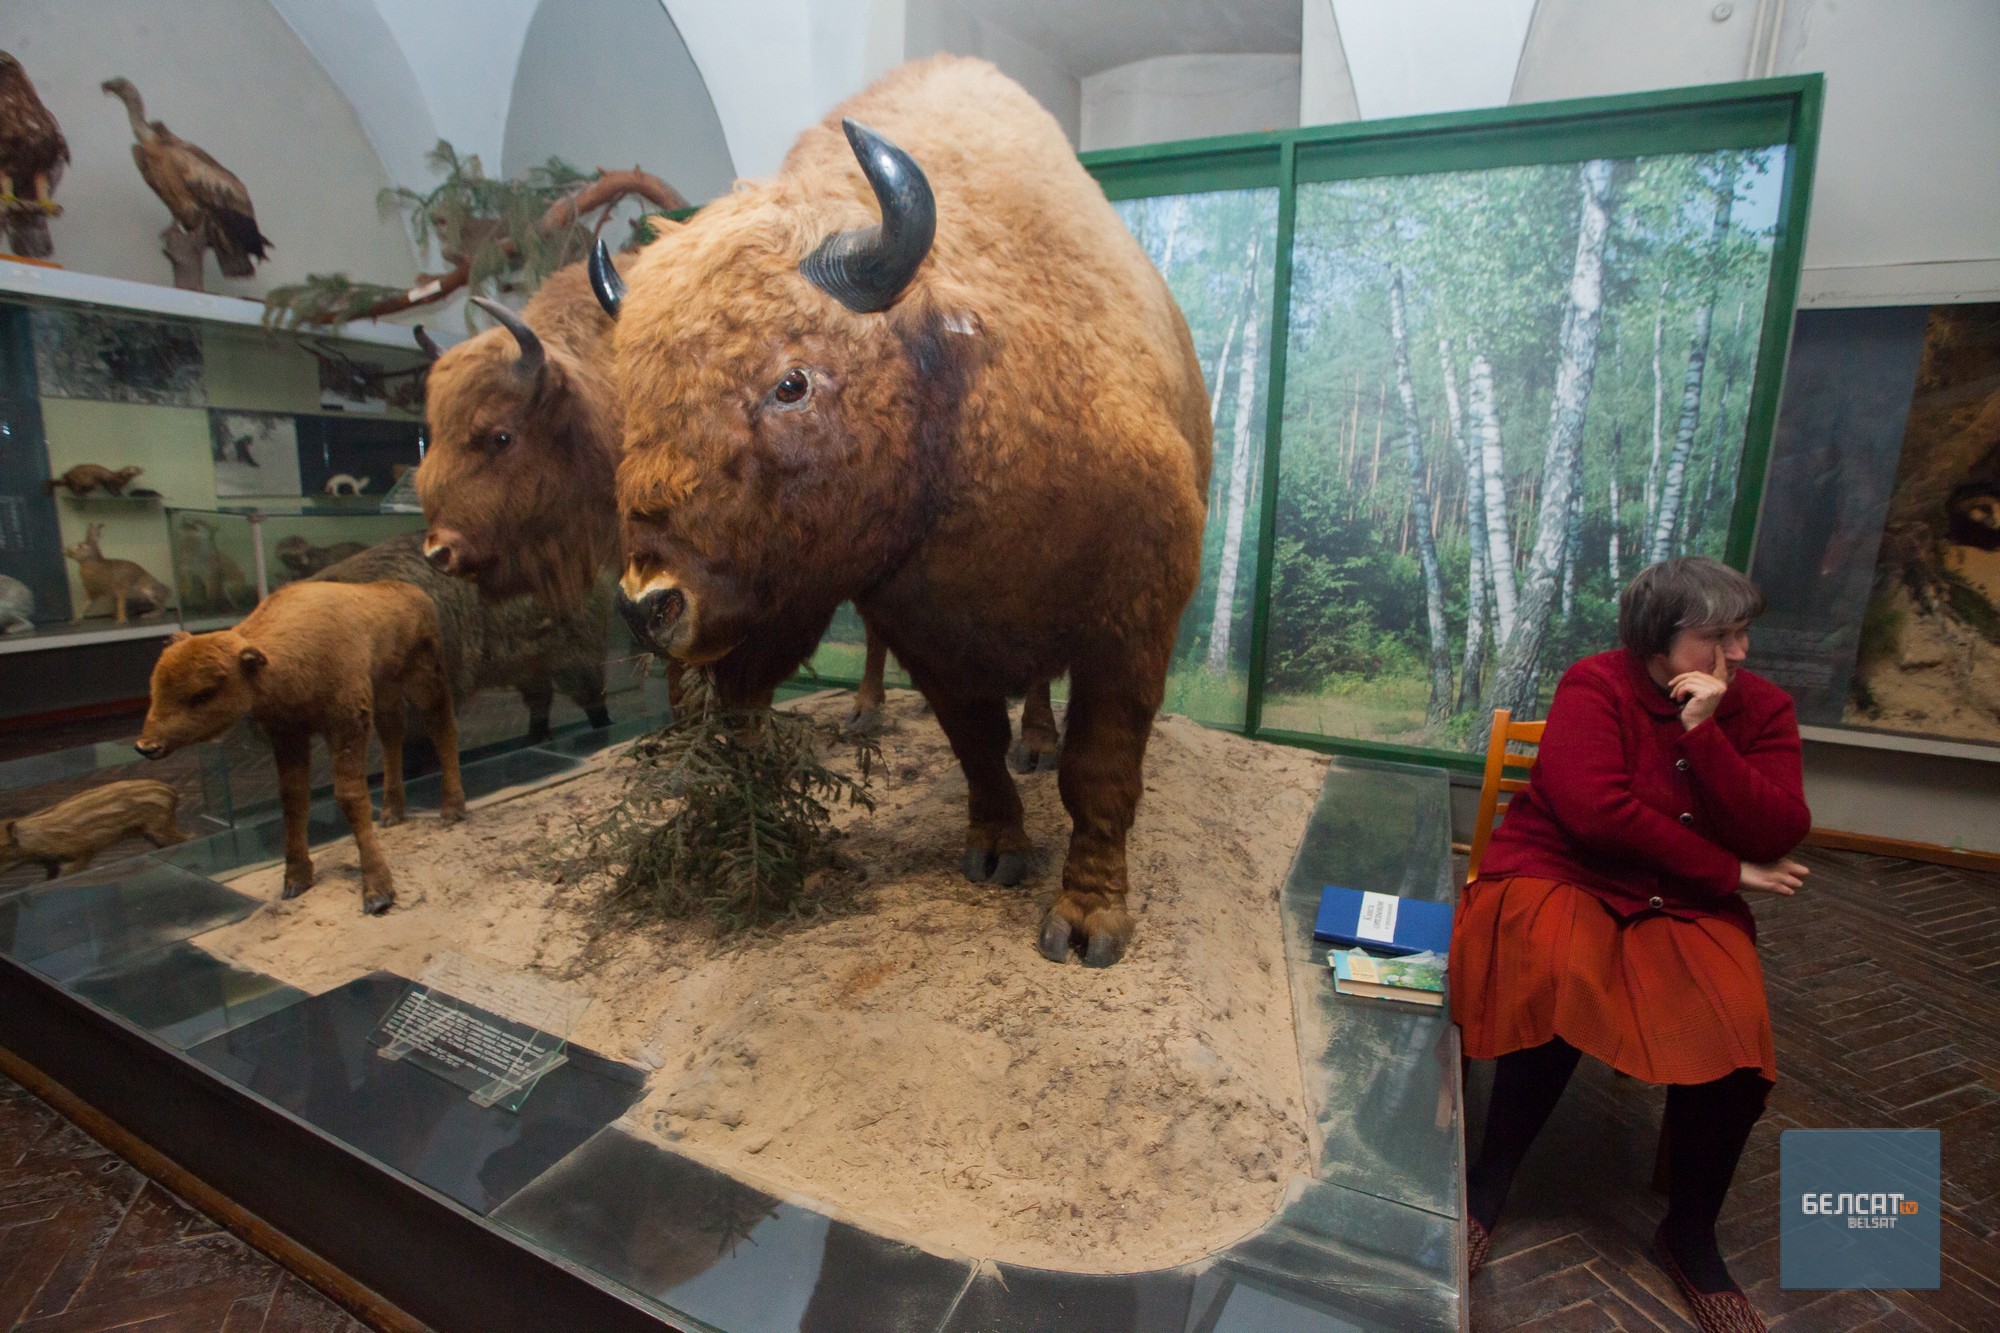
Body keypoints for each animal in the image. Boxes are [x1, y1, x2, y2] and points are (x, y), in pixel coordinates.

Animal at [0, 772, 189, 876]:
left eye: (2, 848)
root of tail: (173, 792)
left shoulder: (82, 849)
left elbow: (74, 869)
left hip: (160, 826)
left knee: (186, 838)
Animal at [137, 580, 464, 912]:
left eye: (204, 693)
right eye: (155, 686)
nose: (146, 745)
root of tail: (413, 590)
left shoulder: (347, 725)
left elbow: (349, 796)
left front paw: (378, 892)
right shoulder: (288, 735)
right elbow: (293, 798)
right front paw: (295, 881)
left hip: (424, 677)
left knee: (441, 725)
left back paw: (452, 809)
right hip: (385, 687)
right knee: (393, 733)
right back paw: (391, 813)